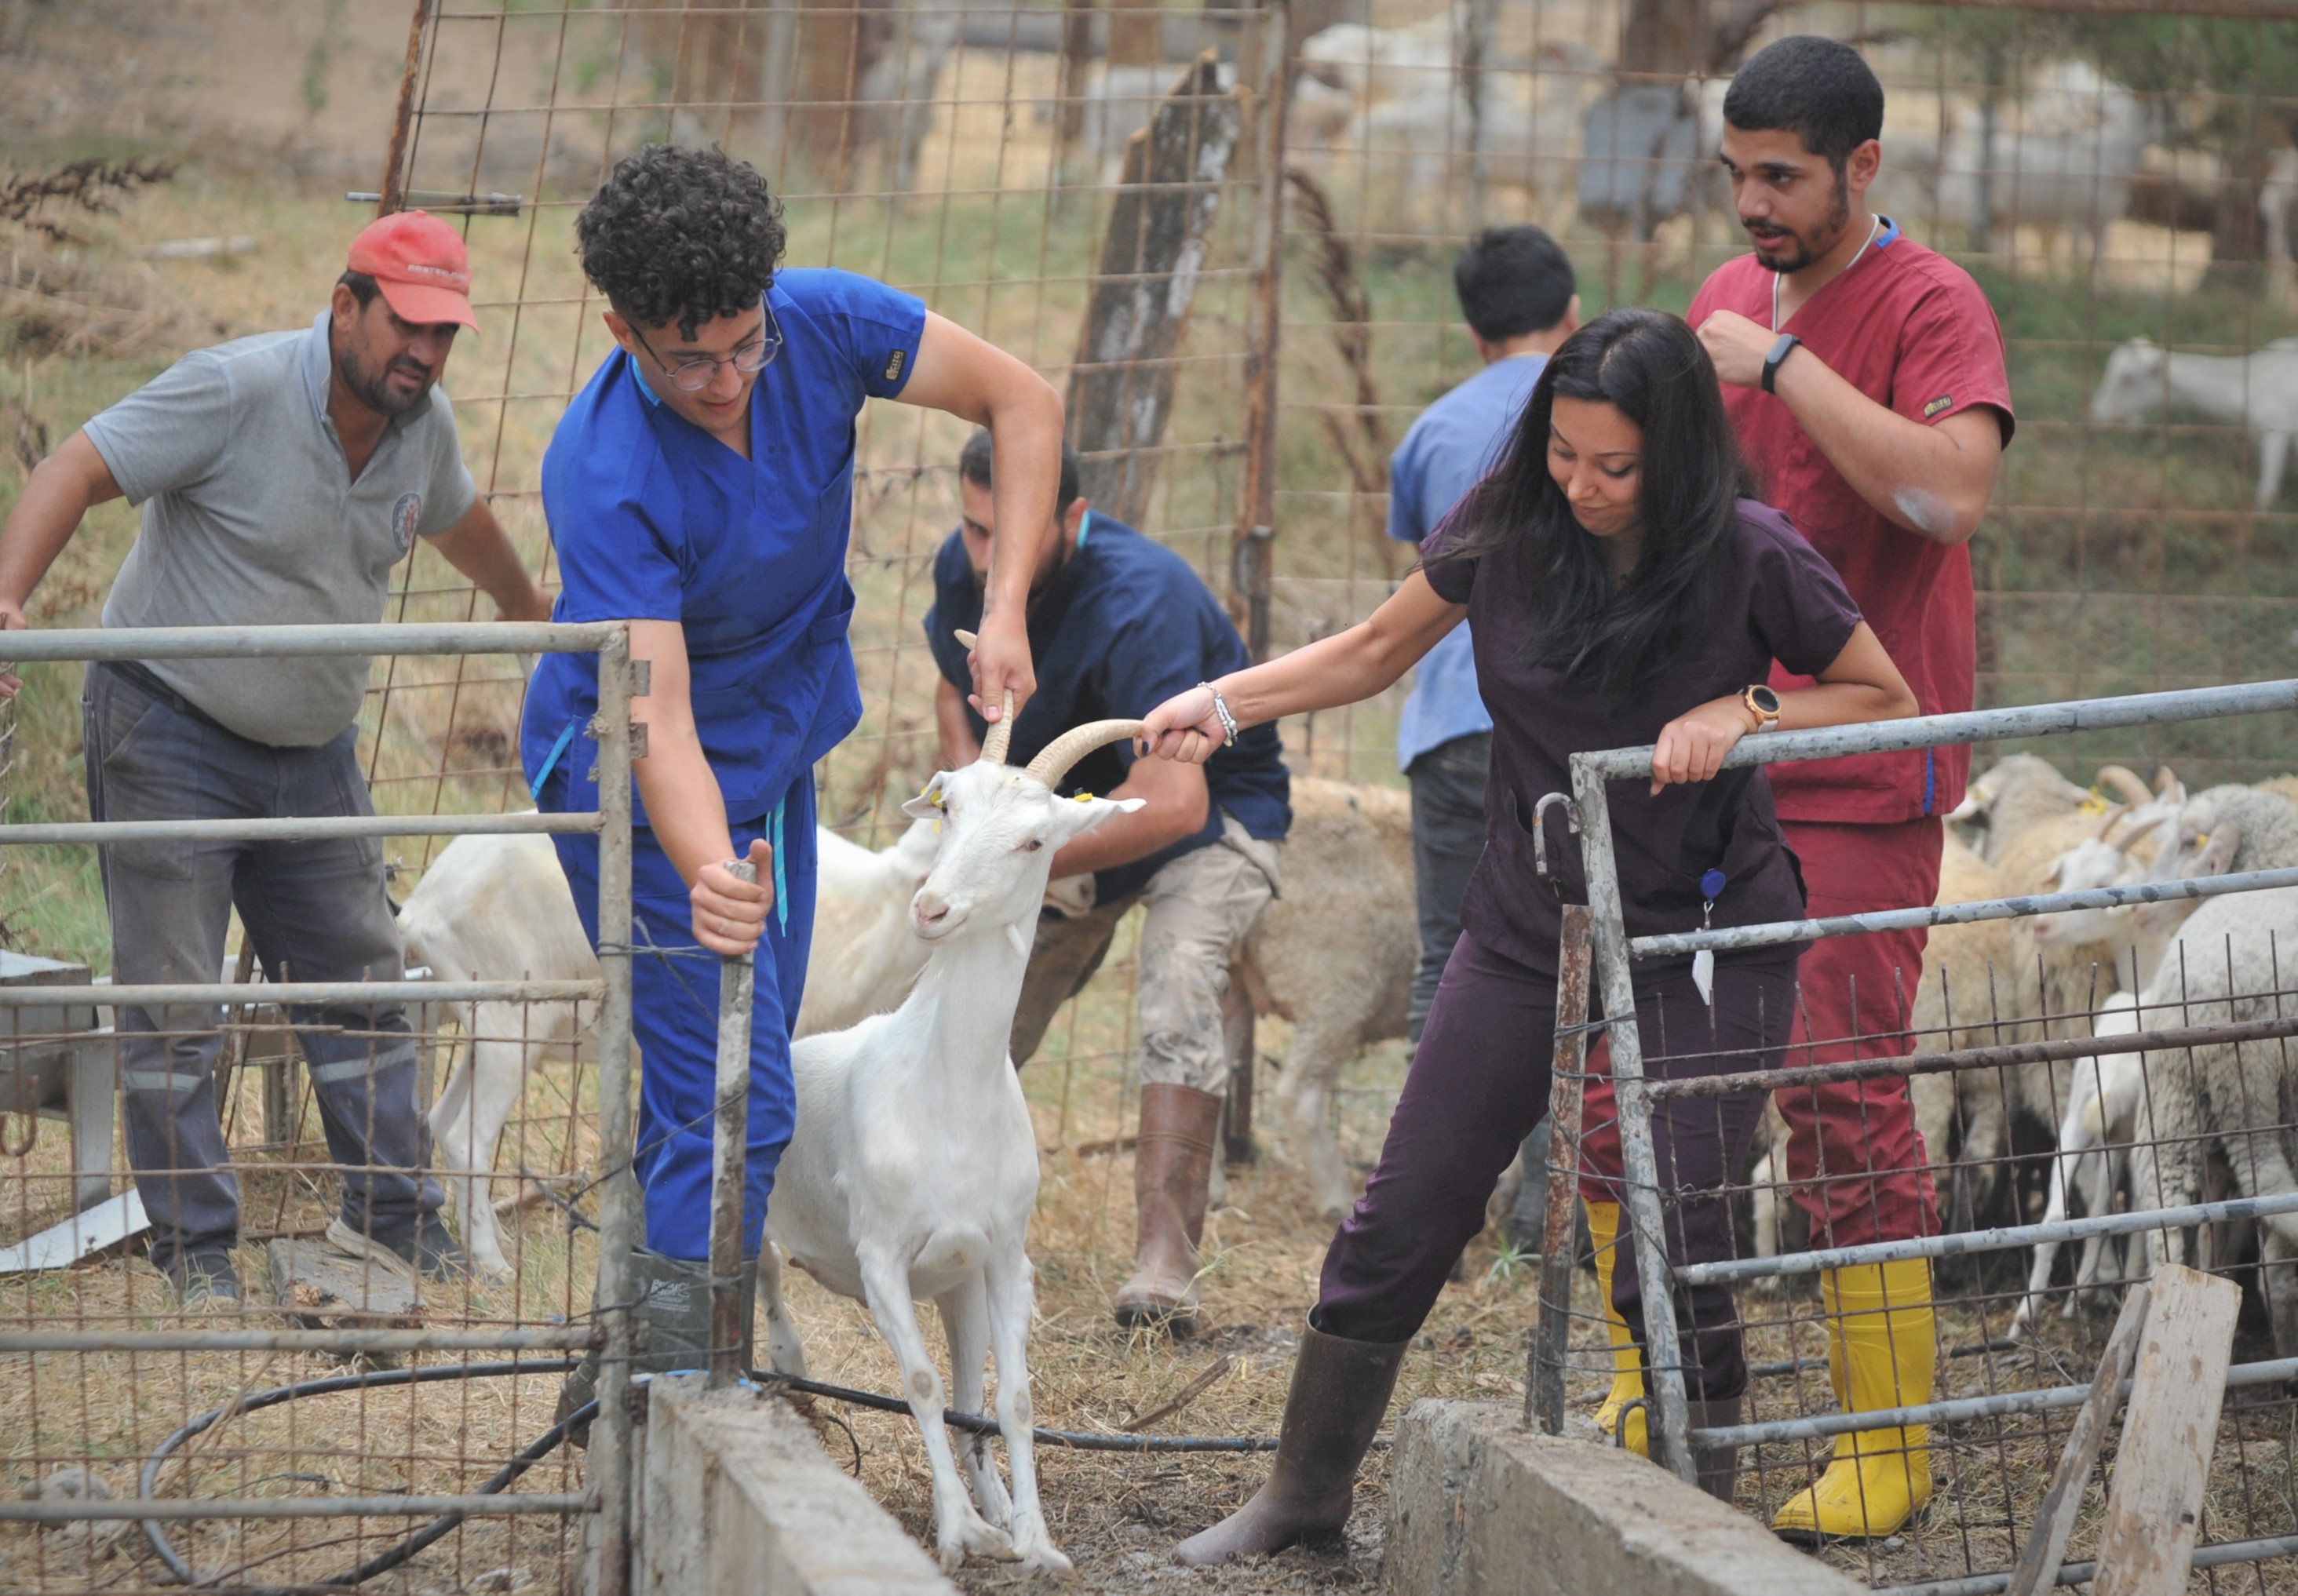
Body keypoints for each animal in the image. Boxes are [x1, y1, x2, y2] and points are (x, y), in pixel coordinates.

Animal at [758, 707, 1144, 1570]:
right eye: (949, 809)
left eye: (1035, 840)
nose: (931, 908)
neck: (949, 1096)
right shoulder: (880, 1255)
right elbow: (922, 1385)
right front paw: (958, 1533)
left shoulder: (1002, 1254)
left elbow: (1016, 1397)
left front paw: (1033, 1539)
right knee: (764, 1286)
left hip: (958, 1282)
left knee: (975, 1394)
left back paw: (997, 1504)